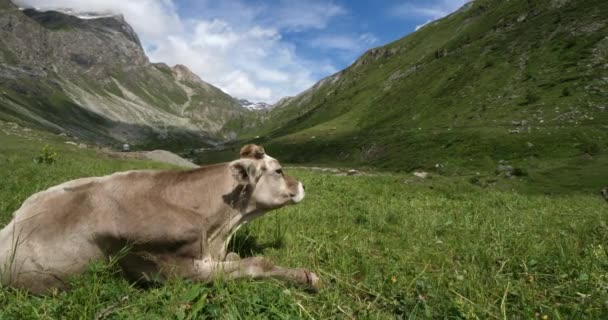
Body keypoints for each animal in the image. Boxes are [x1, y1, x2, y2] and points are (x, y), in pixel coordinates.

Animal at [0, 144, 320, 294]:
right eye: (278, 170)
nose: (303, 185)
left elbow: (235, 257)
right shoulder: (175, 270)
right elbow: (256, 263)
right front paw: (307, 277)